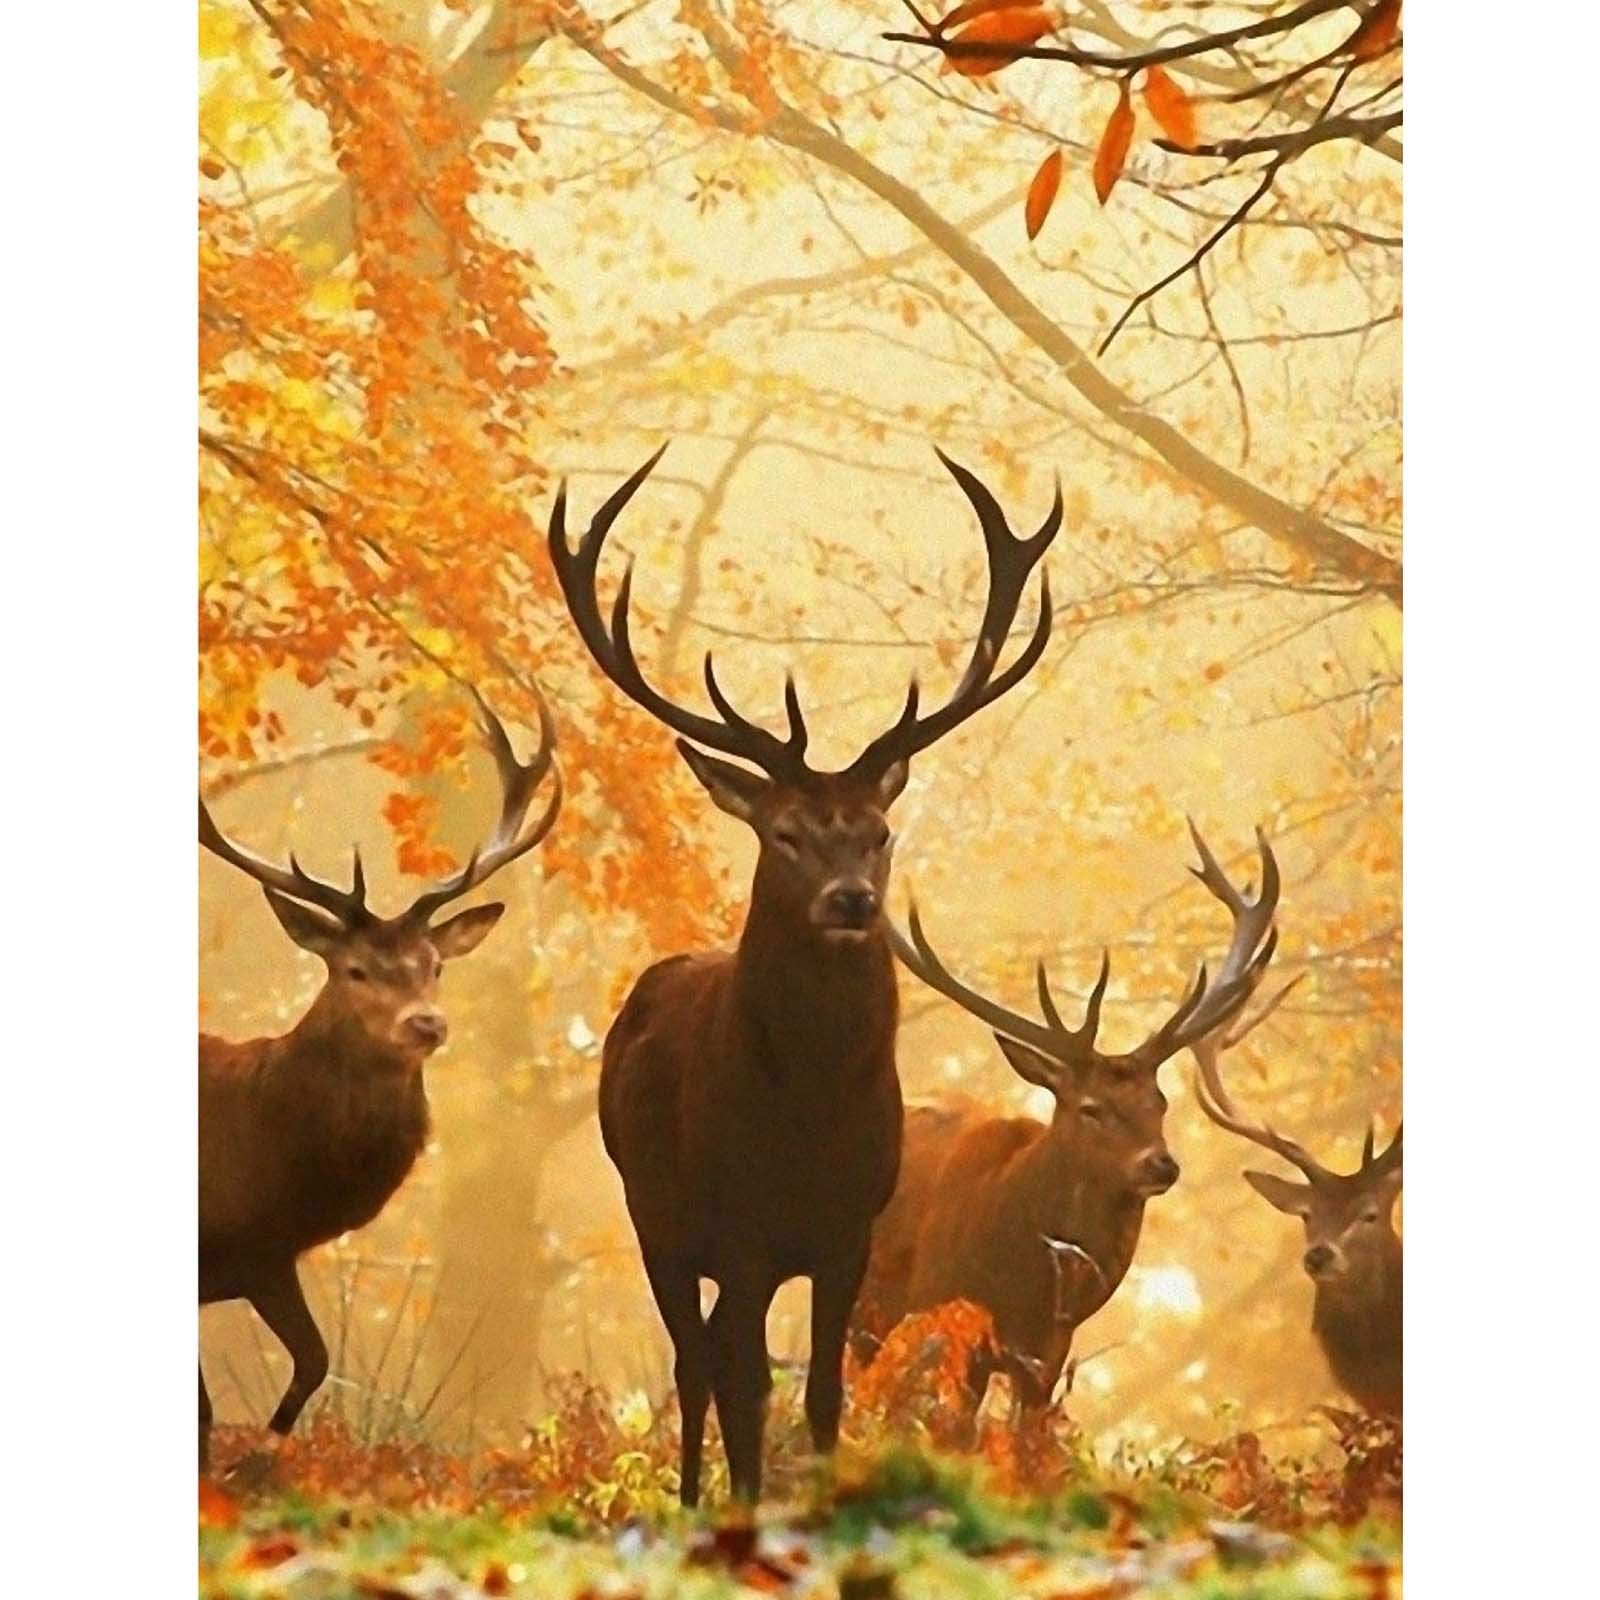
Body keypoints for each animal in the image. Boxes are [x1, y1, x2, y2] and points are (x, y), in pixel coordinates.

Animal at [547, 445, 1059, 1504]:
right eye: (784, 833)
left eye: (879, 832)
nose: (852, 900)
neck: (806, 1125)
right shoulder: (736, 1227)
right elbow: (745, 1388)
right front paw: (746, 1507)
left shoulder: (848, 1231)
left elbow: (823, 1394)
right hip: (653, 1213)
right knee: (694, 1363)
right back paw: (691, 1499)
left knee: (710, 1356)